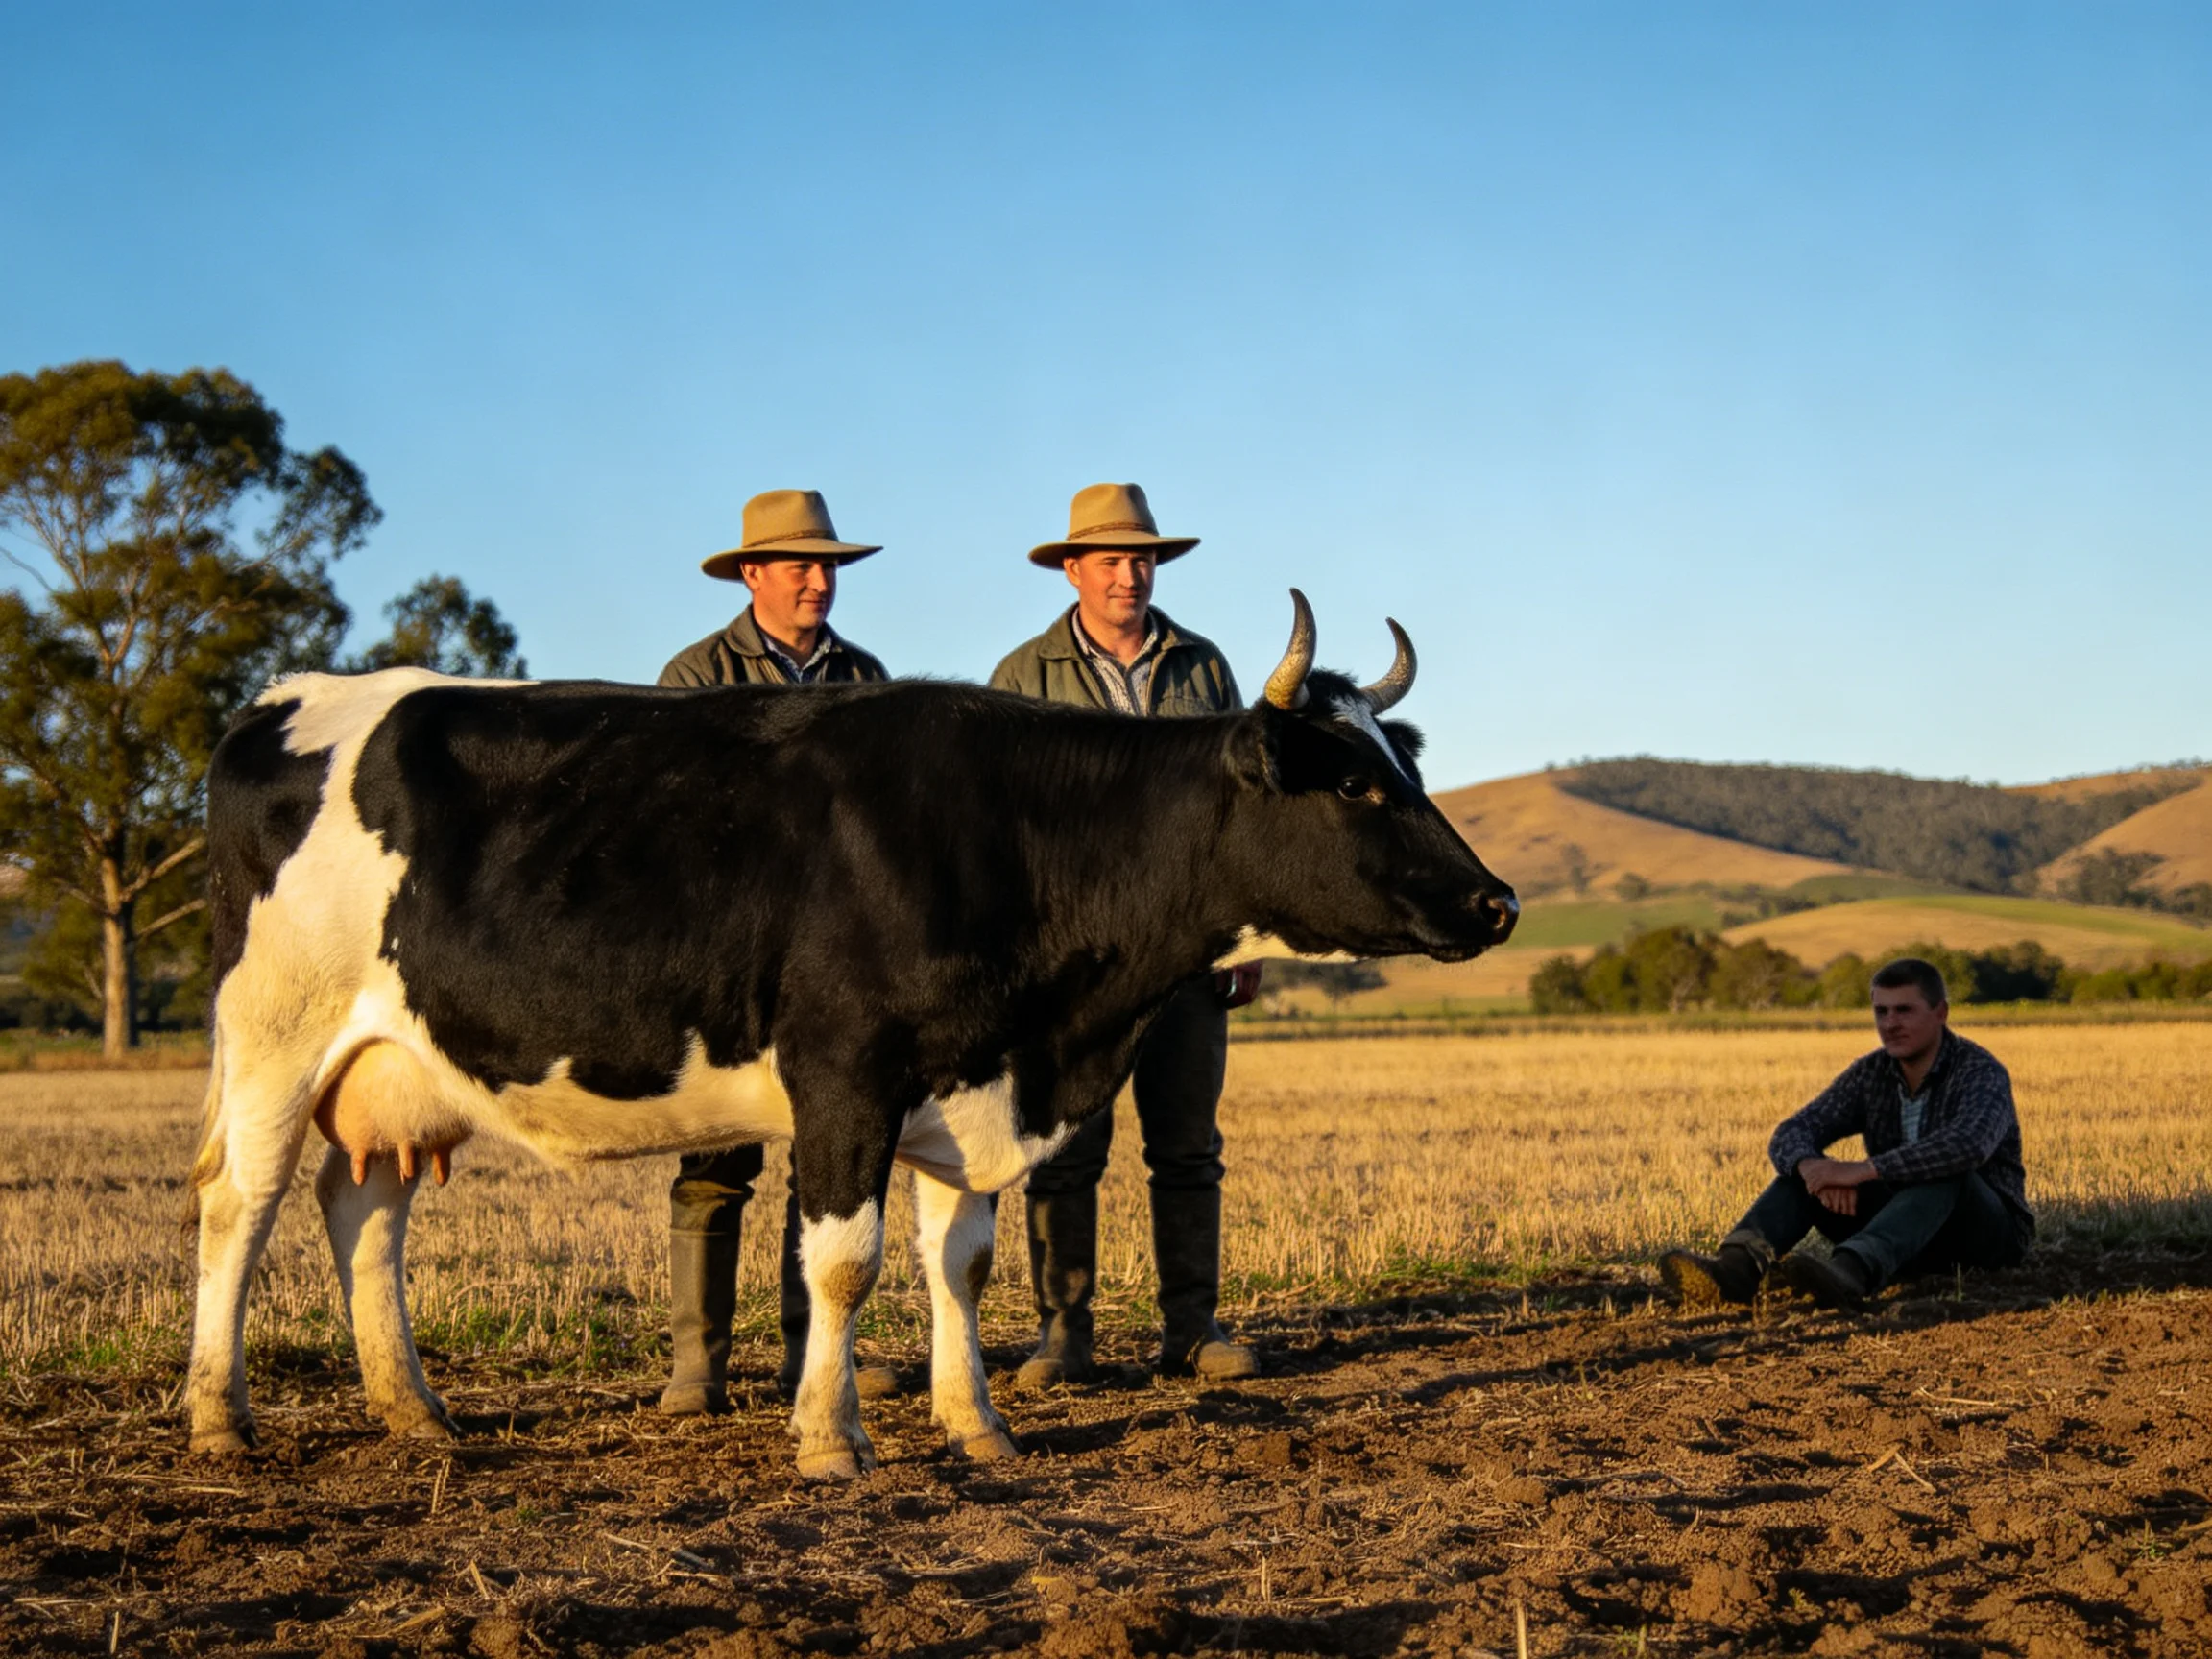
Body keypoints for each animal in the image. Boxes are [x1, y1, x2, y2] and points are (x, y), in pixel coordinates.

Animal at [185, 590, 1517, 1478]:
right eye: (1354, 783)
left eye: (1406, 767)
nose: (1497, 902)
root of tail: (285, 700)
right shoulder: (846, 1077)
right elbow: (843, 1261)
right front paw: (832, 1437)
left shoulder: (977, 1084)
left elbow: (962, 1264)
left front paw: (979, 1425)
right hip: (274, 1032)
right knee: (240, 1201)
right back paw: (219, 1416)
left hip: (392, 1064)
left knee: (364, 1207)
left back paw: (413, 1410)